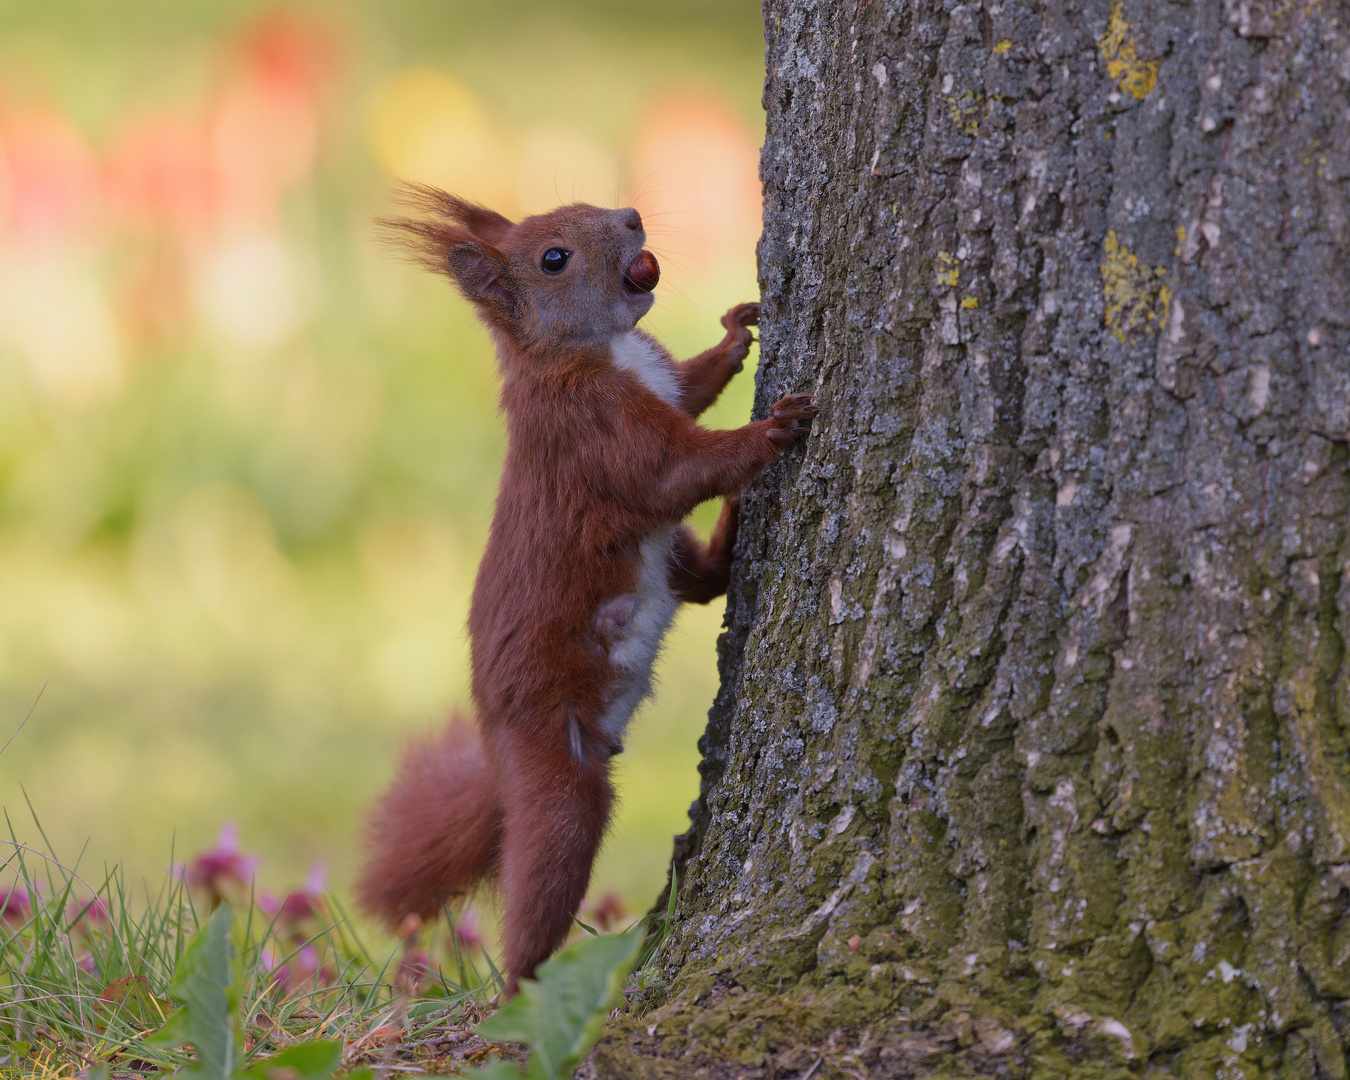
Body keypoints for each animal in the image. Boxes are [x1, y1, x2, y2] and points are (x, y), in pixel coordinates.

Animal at [353, 183, 815, 988]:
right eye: (553, 259)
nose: (632, 217)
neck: (598, 352)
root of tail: (497, 751)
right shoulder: (594, 433)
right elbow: (680, 470)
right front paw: (769, 431)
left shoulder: (662, 383)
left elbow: (690, 388)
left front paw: (734, 333)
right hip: (560, 783)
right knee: (542, 882)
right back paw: (524, 988)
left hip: (666, 561)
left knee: (699, 585)